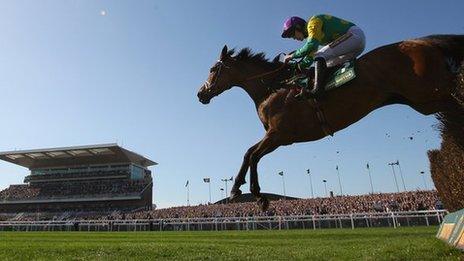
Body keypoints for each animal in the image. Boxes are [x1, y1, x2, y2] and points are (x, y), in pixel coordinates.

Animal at [197, 34, 464, 210]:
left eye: (212, 69)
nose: (200, 93)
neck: (273, 87)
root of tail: (425, 41)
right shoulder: (277, 137)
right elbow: (248, 153)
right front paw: (238, 189)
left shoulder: (280, 134)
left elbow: (253, 155)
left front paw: (255, 196)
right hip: (425, 100)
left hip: (430, 93)